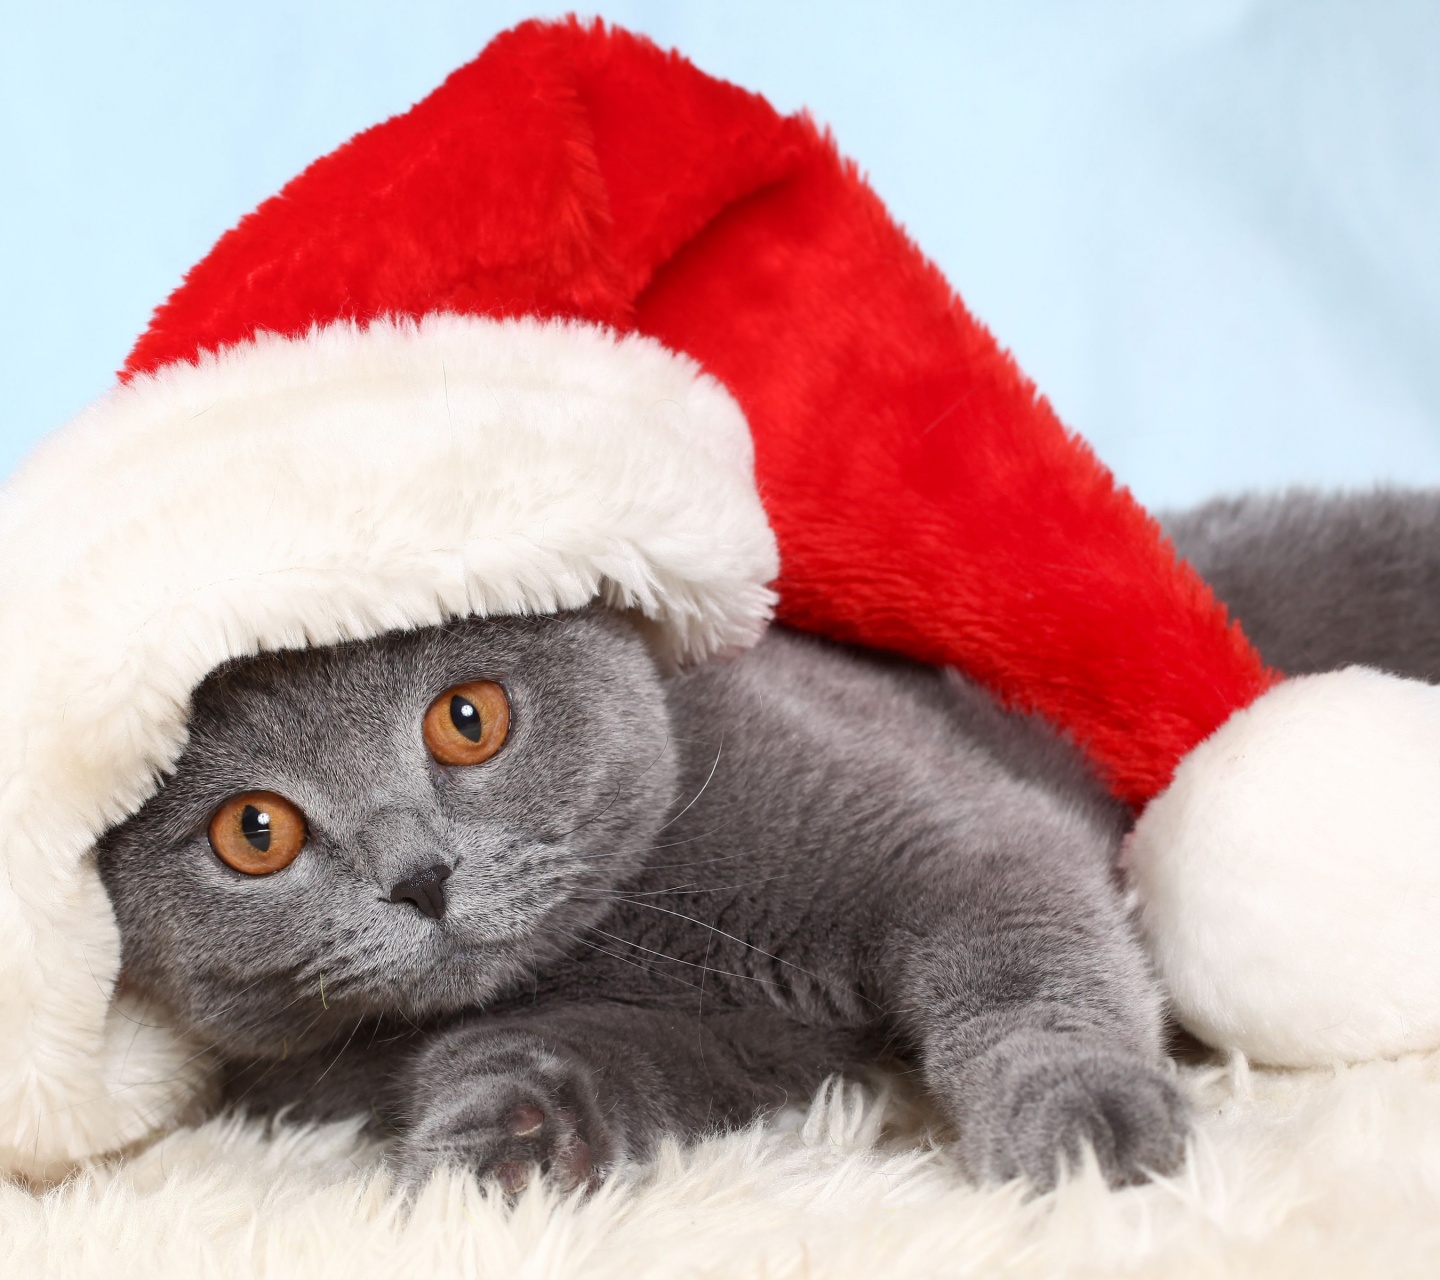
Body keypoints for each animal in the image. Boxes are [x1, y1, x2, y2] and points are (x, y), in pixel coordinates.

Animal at [95, 486, 1434, 1186]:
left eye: (467, 717)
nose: (419, 875)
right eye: (254, 831)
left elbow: (1028, 968)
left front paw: (1084, 1125)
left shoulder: (958, 833)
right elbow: (575, 1056)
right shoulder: (739, 1042)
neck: (639, 934)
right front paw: (495, 1142)